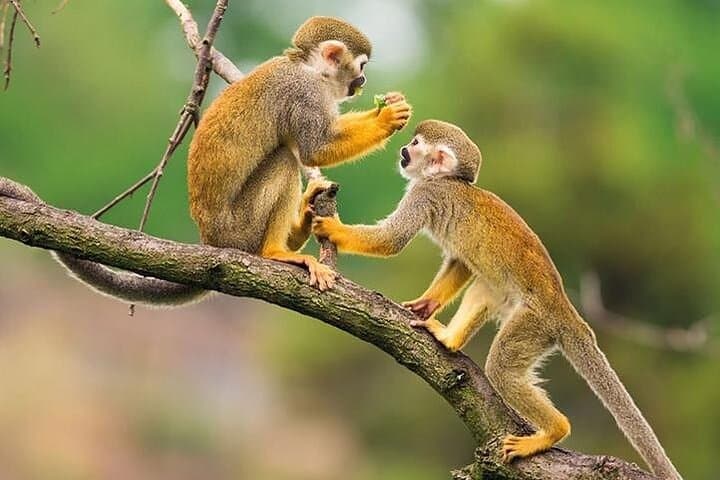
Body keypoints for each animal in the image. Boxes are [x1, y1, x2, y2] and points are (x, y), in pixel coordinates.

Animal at [0, 16, 411, 306]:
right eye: (360, 66)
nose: (363, 80)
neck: (308, 69)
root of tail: (211, 241)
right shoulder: (304, 94)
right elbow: (314, 149)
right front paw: (387, 119)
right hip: (239, 228)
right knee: (284, 159)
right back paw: (277, 251)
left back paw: (302, 222)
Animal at [312, 120, 682, 479]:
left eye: (415, 145)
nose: (403, 150)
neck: (447, 181)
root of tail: (566, 310)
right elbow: (460, 262)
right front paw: (426, 304)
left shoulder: (425, 194)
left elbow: (392, 240)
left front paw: (333, 229)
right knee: (485, 287)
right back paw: (450, 339)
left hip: (534, 323)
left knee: (502, 368)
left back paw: (554, 431)